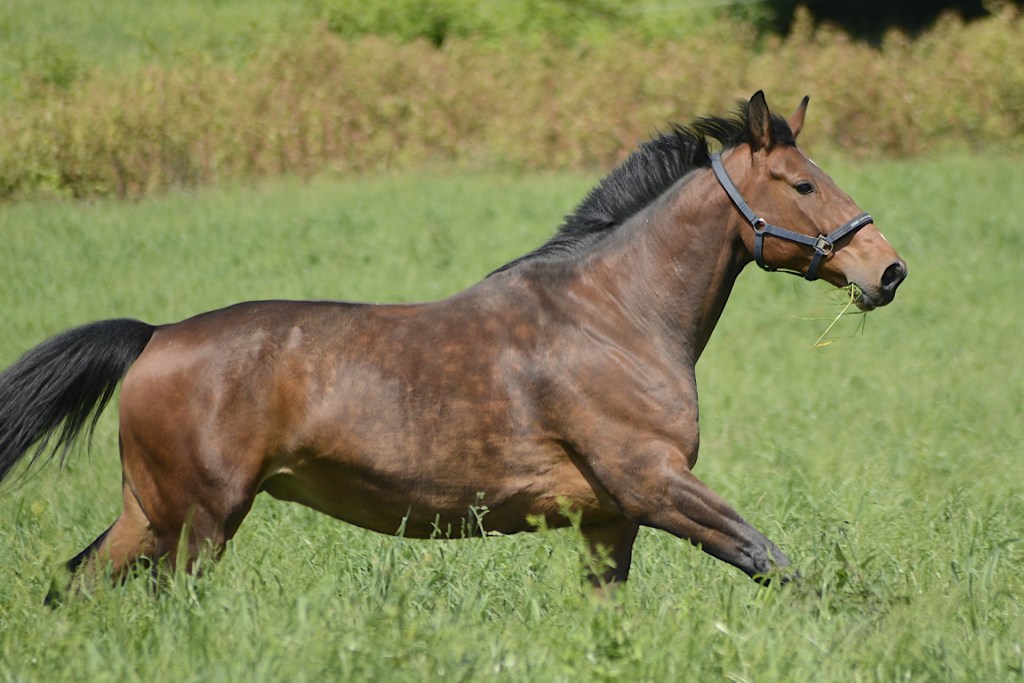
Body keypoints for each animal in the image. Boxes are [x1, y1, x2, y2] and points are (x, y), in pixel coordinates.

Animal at [0, 92, 906, 601]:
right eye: (803, 183)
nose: (888, 269)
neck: (615, 316)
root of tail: (155, 338)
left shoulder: (609, 519)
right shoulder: (654, 485)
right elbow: (771, 559)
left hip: (148, 513)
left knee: (74, 587)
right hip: (199, 520)